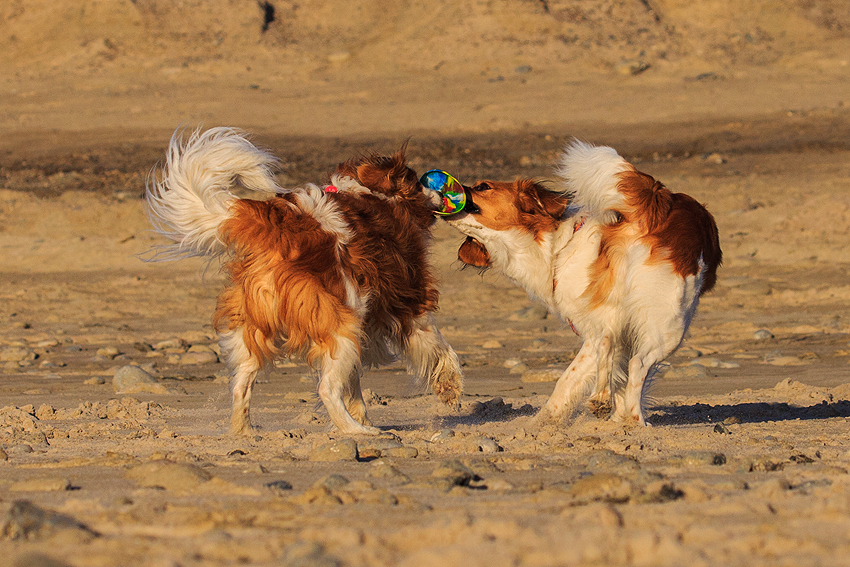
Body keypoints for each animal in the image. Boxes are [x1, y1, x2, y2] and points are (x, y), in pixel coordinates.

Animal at [147, 129, 464, 438]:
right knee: (327, 388)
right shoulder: (409, 296)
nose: (439, 193)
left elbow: (354, 383)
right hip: (341, 324)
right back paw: (358, 431)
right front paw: (450, 387)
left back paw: (243, 431)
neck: (375, 194)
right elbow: (437, 344)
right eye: (418, 182)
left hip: (254, 325)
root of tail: (277, 227)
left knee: (241, 385)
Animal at [448, 142, 720, 426]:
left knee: (631, 360)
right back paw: (623, 414)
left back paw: (634, 419)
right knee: (625, 356)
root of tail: (656, 202)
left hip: (671, 321)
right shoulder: (602, 324)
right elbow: (580, 379)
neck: (557, 245)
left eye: (483, 186)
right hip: (662, 320)